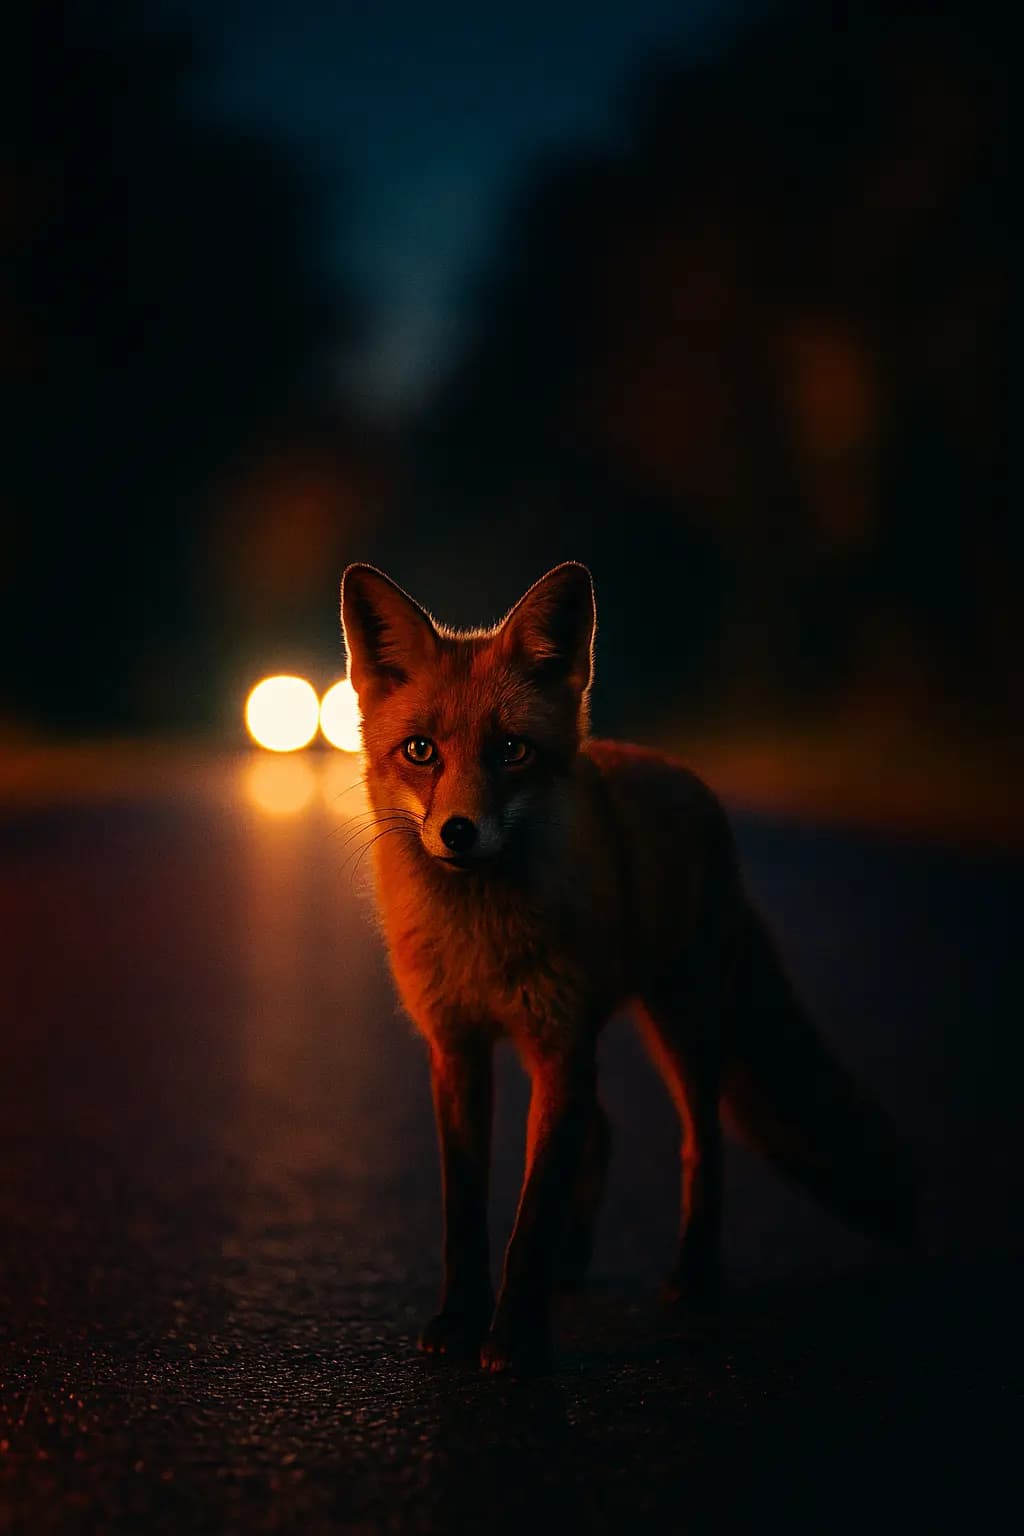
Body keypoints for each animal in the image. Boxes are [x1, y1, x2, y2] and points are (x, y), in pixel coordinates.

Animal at [340, 560, 920, 1375]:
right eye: (421, 751)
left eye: (512, 751)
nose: (459, 832)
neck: (481, 935)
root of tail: (685, 776)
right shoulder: (458, 1048)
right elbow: (466, 1212)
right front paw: (461, 1319)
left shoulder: (558, 1045)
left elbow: (532, 1212)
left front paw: (515, 1340)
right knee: (604, 1133)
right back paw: (570, 1270)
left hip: (680, 1024)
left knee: (701, 1144)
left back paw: (694, 1278)